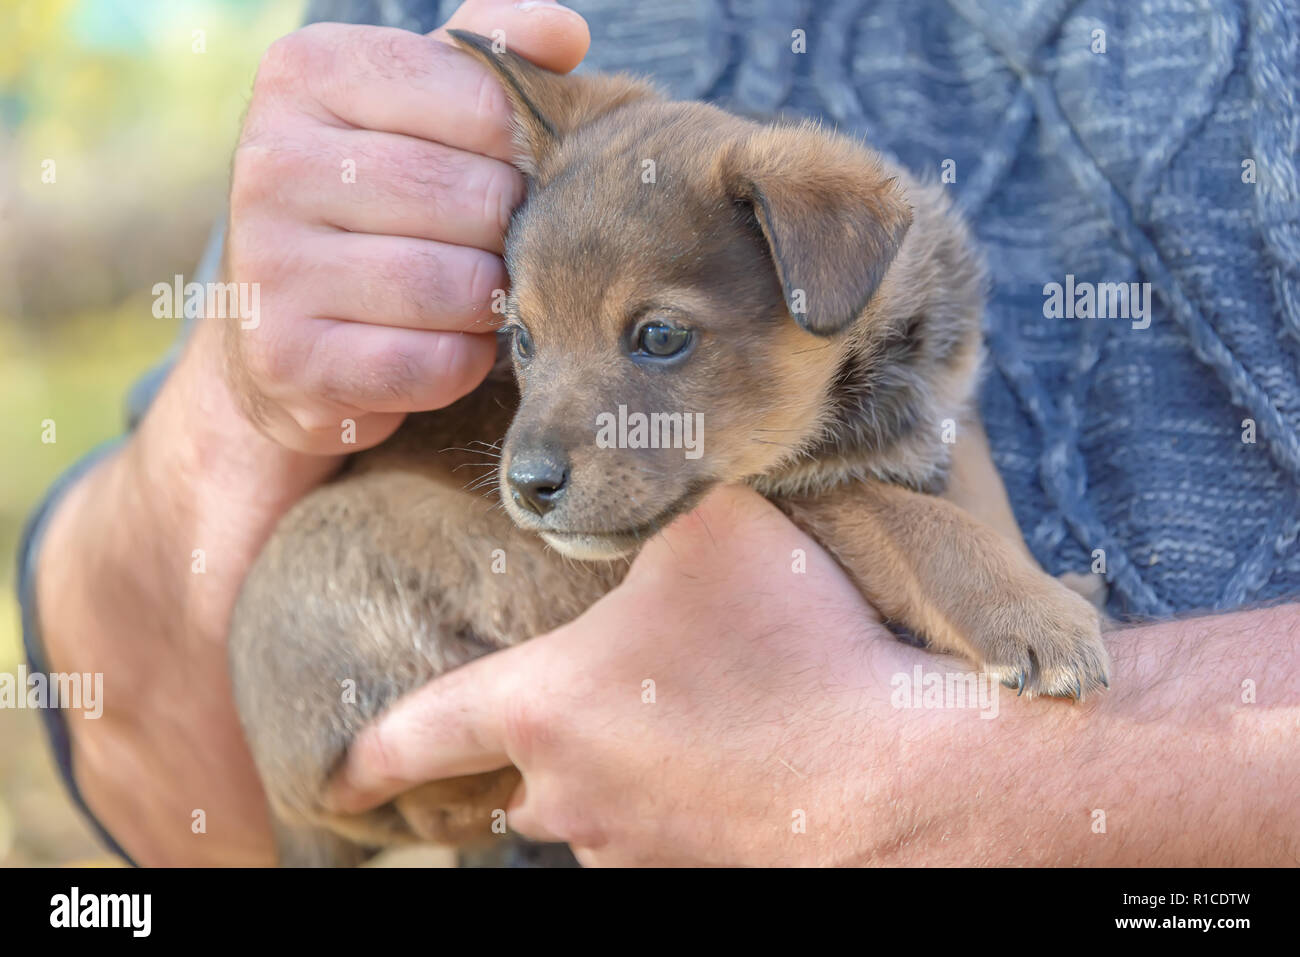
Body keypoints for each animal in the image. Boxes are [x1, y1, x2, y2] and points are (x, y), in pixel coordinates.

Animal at [231, 31, 1107, 868]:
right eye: (523, 338)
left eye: (659, 336)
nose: (527, 485)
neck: (871, 378)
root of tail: (277, 800)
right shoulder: (800, 493)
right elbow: (908, 518)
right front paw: (1029, 612)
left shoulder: (948, 414)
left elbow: (970, 491)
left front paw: (1048, 584)